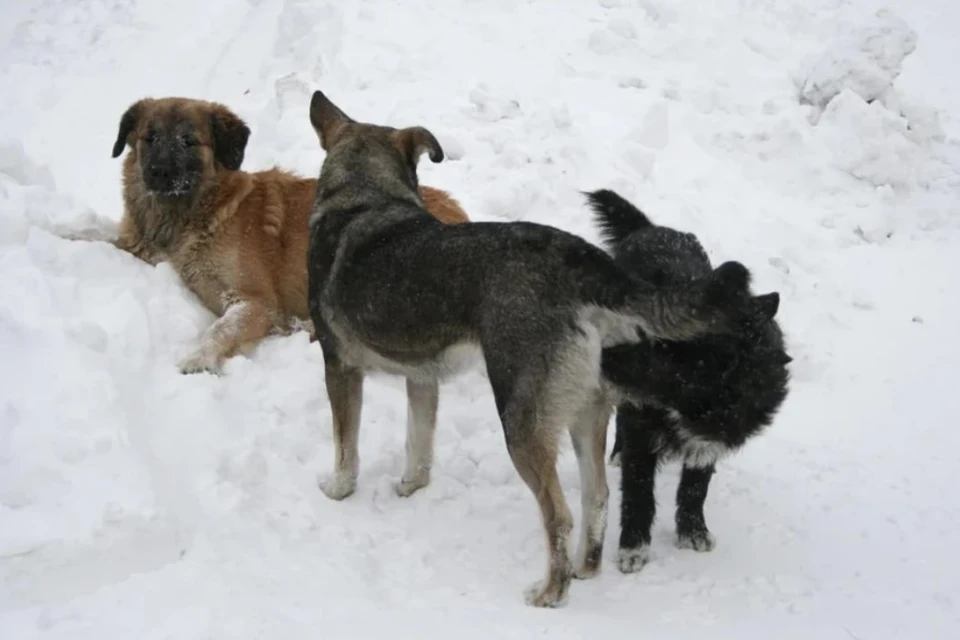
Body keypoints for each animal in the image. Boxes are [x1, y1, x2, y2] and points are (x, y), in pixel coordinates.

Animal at [59, 97, 468, 372]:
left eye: (189, 141)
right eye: (150, 137)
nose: (158, 172)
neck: (193, 213)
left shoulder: (254, 301)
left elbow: (220, 329)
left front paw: (199, 358)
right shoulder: (140, 248)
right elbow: (98, 239)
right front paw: (60, 232)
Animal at [588, 188, 792, 572]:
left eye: (664, 347)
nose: (602, 349)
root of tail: (648, 228)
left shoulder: (707, 442)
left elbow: (695, 488)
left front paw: (693, 530)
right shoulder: (642, 428)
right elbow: (639, 493)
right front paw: (633, 547)